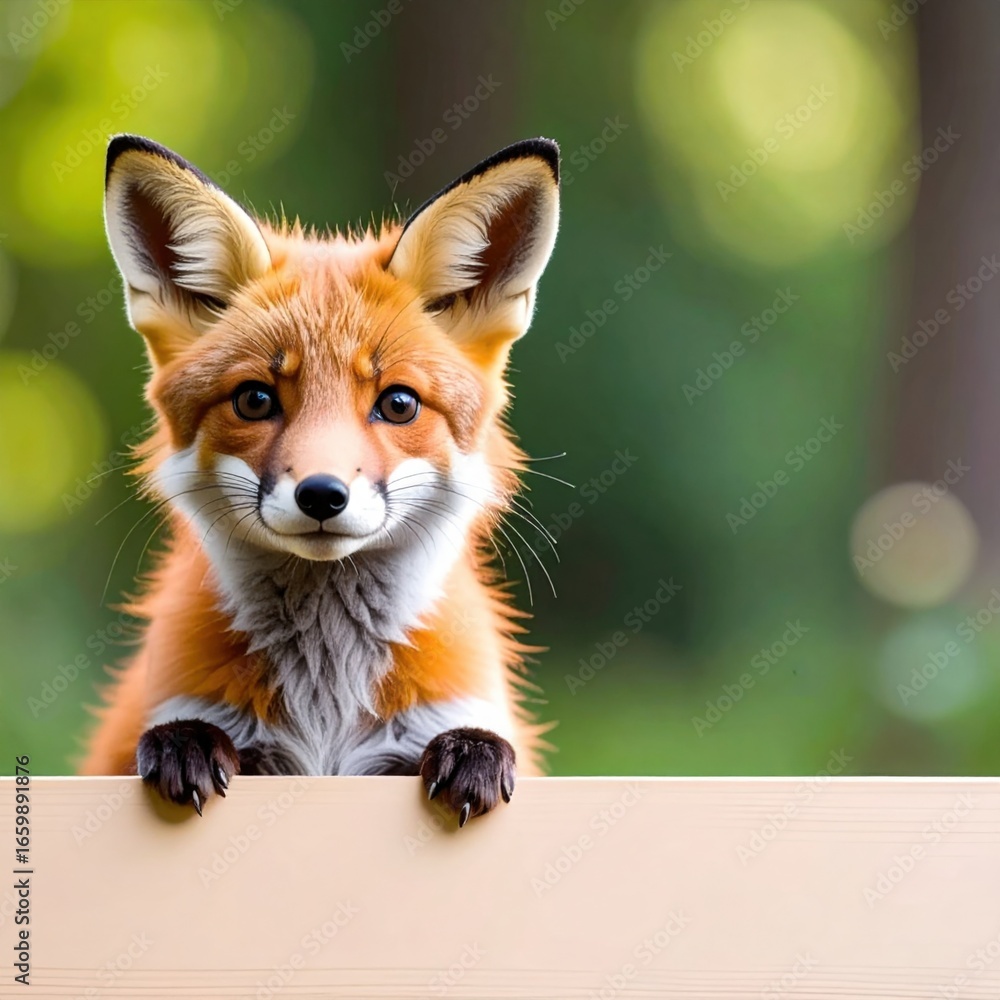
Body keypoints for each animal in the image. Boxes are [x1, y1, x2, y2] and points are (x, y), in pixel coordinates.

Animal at [78, 133, 561, 826]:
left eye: (398, 404)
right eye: (254, 400)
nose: (322, 495)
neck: (325, 705)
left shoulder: (429, 723)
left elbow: (469, 739)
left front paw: (473, 752)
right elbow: (181, 734)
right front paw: (184, 744)